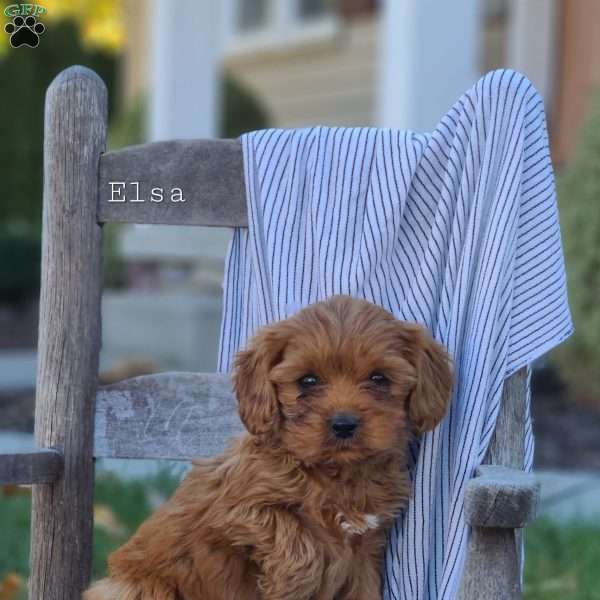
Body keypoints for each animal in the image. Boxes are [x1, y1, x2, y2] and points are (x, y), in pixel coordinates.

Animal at [83, 296, 450, 600]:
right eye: (308, 381)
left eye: (379, 378)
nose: (344, 424)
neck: (337, 475)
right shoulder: (234, 510)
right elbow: (290, 531)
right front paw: (296, 578)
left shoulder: (364, 553)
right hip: (134, 589)